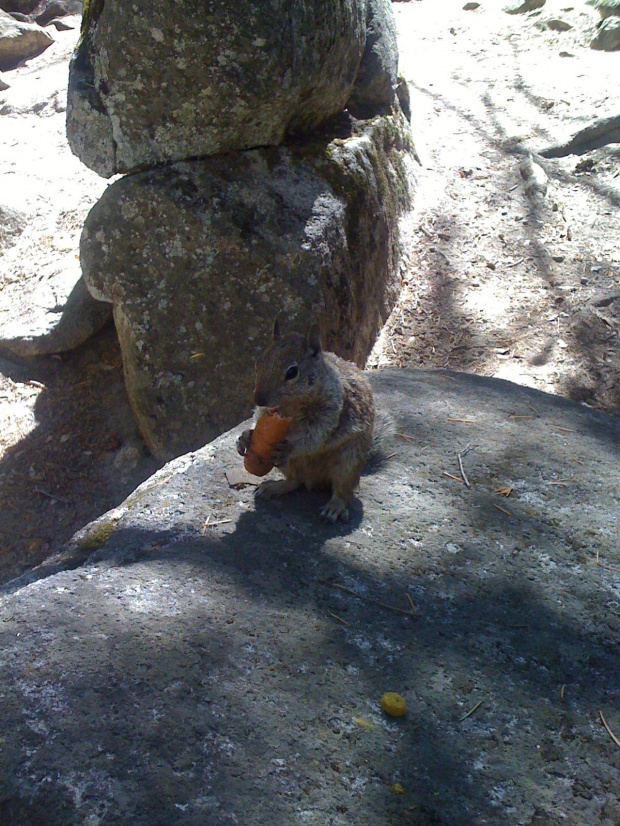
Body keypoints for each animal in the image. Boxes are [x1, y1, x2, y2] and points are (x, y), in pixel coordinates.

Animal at [236, 318, 372, 520]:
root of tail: (315, 479)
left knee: (343, 489)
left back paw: (334, 506)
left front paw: (290, 447)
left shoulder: (329, 411)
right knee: (296, 481)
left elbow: (314, 435)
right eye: (258, 363)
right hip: (289, 466)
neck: (292, 404)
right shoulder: (267, 412)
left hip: (349, 461)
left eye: (292, 372)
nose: (258, 399)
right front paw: (246, 436)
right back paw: (274, 487)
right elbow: (259, 418)